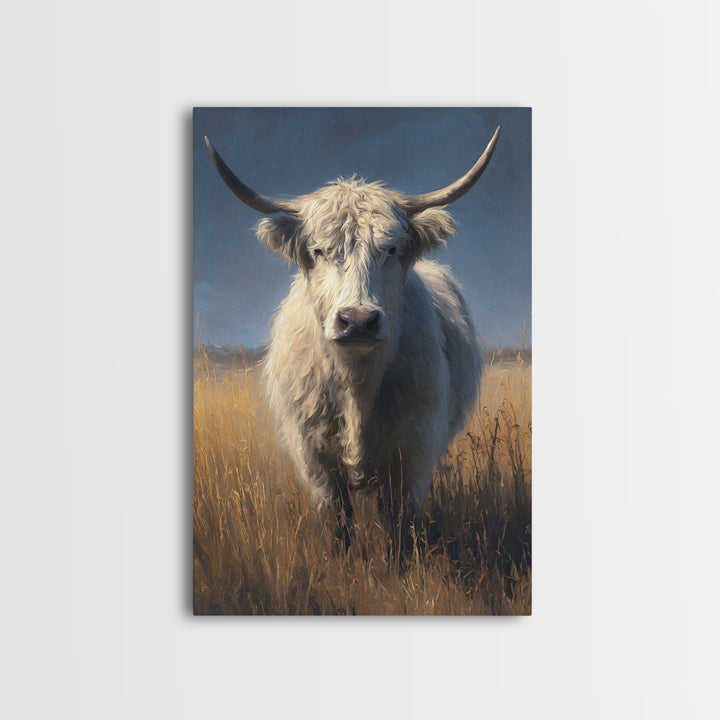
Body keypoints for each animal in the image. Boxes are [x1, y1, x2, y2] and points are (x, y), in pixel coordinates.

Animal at [205, 127, 500, 549]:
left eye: (391, 249)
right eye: (318, 250)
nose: (357, 321)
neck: (356, 382)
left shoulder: (413, 449)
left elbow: (398, 523)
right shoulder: (314, 456)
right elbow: (336, 523)